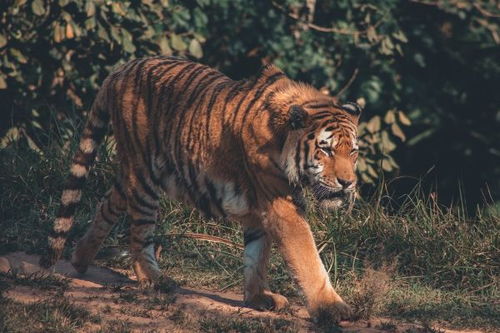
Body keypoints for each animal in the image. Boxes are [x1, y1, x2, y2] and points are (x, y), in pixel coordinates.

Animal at [39, 55, 360, 322]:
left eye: (353, 152)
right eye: (326, 150)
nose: (348, 183)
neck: (282, 137)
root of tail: (122, 69)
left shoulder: (260, 208)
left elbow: (257, 255)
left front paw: (258, 298)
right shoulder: (281, 205)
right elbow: (307, 257)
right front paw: (331, 308)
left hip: (133, 172)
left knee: (108, 203)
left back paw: (80, 258)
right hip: (144, 176)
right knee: (139, 233)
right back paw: (154, 280)